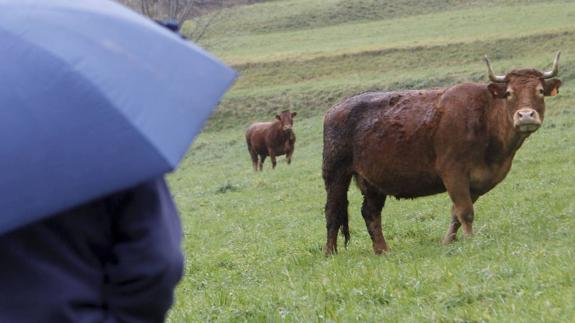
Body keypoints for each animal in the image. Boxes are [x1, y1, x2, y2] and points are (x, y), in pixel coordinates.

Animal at [324, 52, 564, 256]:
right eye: (509, 93)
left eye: (540, 91)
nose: (526, 116)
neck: (485, 118)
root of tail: (336, 108)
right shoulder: (453, 173)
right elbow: (465, 211)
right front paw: (470, 240)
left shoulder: (475, 183)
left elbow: (456, 213)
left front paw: (448, 241)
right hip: (336, 174)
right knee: (333, 212)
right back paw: (330, 253)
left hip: (373, 181)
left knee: (370, 212)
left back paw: (382, 250)